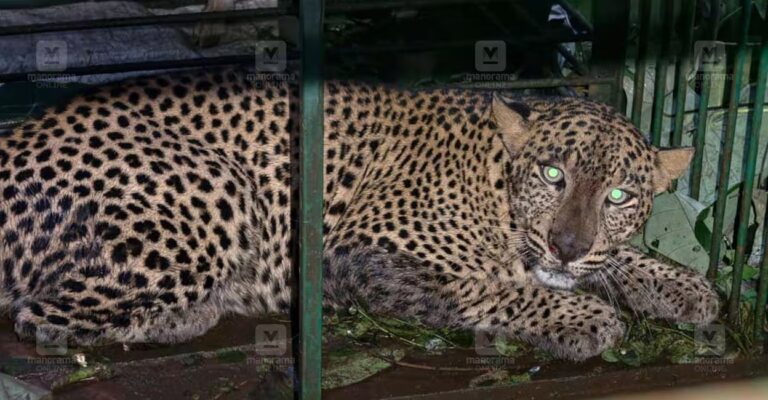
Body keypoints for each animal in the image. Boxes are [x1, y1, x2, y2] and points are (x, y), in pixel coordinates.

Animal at [0, 67, 719, 361]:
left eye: (618, 196)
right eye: (553, 174)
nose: (568, 245)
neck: (497, 179)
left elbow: (619, 259)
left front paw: (687, 287)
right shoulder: (359, 253)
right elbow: (493, 288)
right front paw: (584, 317)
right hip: (214, 183)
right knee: (42, 320)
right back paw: (202, 310)